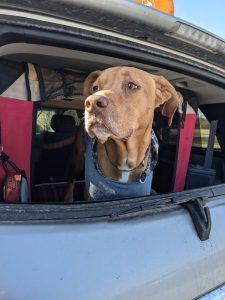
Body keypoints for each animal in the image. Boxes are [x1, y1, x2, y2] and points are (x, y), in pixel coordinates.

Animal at [64, 67, 179, 200]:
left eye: (131, 85)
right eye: (95, 88)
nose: (91, 103)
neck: (126, 161)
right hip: (78, 160)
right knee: (71, 178)